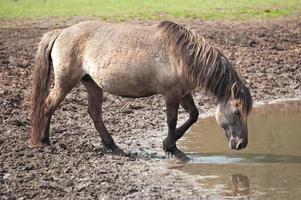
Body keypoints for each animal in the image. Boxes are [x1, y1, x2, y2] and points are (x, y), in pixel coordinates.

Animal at [30, 20, 252, 160]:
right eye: (236, 111)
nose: (242, 144)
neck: (182, 55)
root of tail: (61, 32)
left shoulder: (183, 92)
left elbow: (193, 115)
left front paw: (168, 143)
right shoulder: (171, 94)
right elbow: (172, 120)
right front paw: (173, 149)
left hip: (92, 84)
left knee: (94, 113)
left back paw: (113, 146)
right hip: (65, 82)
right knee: (48, 106)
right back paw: (45, 141)